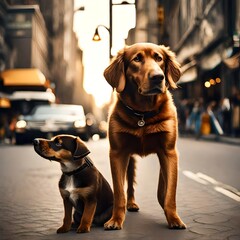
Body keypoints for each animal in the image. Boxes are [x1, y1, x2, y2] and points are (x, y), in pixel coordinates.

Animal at [103, 43, 186, 231]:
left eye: (159, 58)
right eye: (137, 59)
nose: (158, 77)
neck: (143, 113)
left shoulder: (169, 152)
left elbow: (170, 191)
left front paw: (174, 218)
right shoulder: (117, 153)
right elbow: (119, 192)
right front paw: (115, 220)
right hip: (130, 159)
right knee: (129, 186)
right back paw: (131, 204)